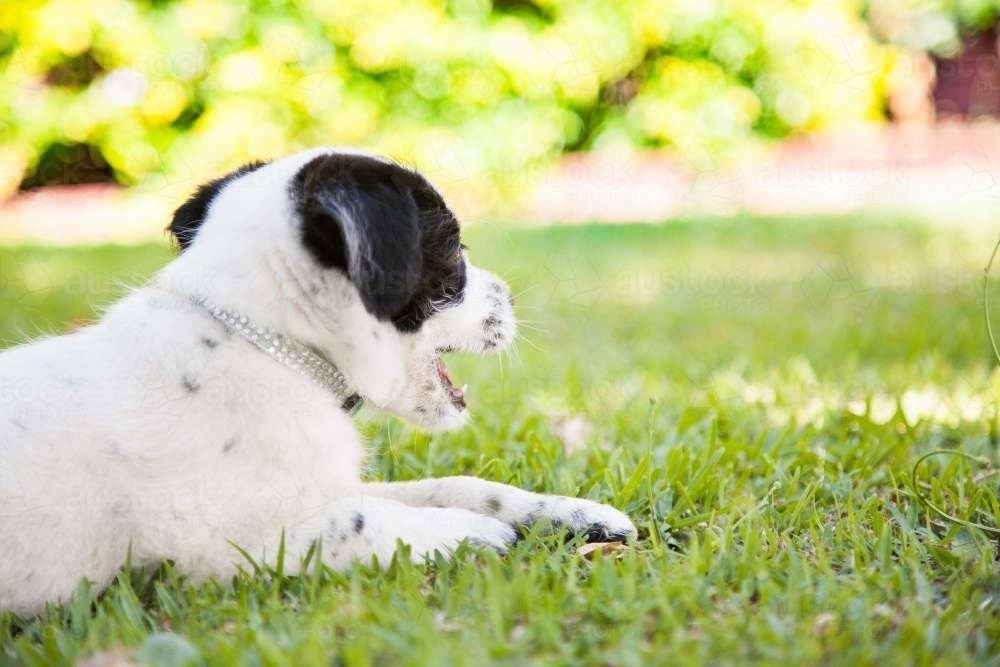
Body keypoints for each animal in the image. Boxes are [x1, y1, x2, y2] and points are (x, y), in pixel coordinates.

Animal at [0, 149, 636, 620]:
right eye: (454, 252)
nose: (510, 298)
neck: (266, 347)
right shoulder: (227, 549)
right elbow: (369, 522)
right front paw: (478, 536)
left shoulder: (325, 487)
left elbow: (455, 485)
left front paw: (570, 514)